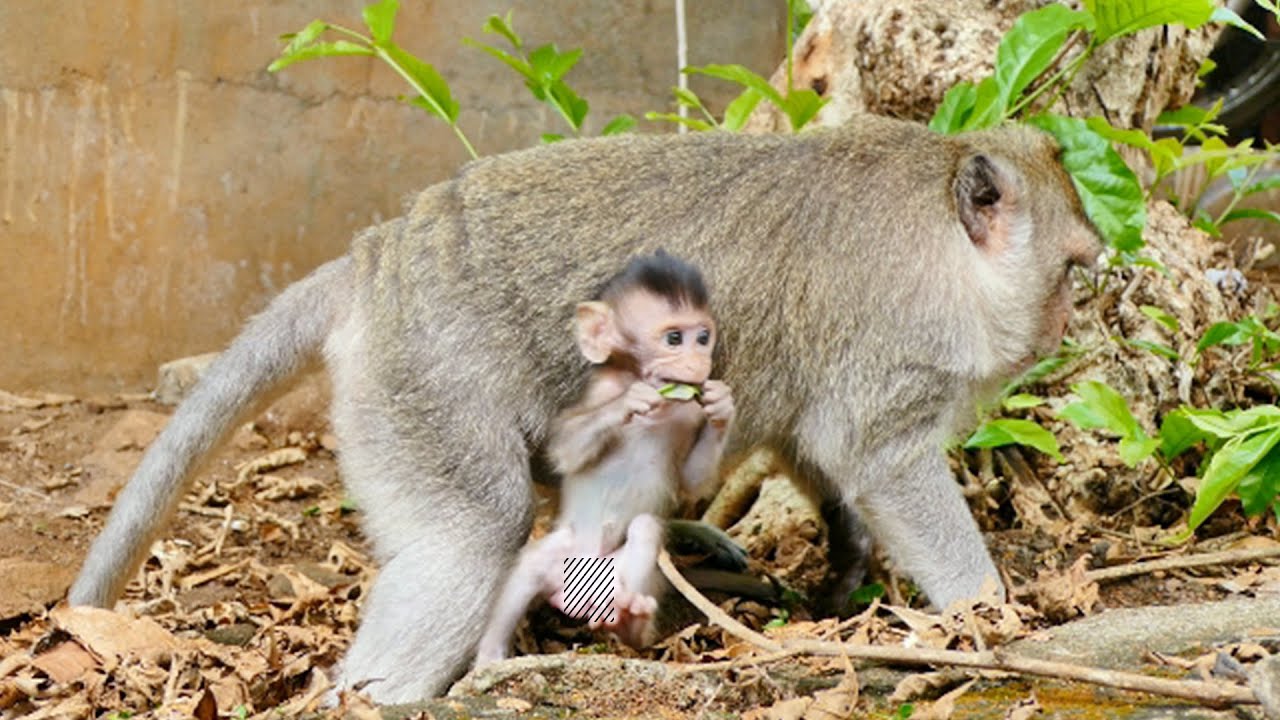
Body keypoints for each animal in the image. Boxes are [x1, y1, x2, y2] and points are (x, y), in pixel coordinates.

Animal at [473, 251, 735, 666]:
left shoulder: (691, 413)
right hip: (559, 560)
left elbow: (692, 480)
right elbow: (564, 451)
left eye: (703, 337)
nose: (699, 361)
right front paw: (629, 403)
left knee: (645, 529)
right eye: (674, 338)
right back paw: (489, 657)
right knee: (530, 565)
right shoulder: (602, 388)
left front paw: (723, 405)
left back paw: (631, 626)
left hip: (625, 579)